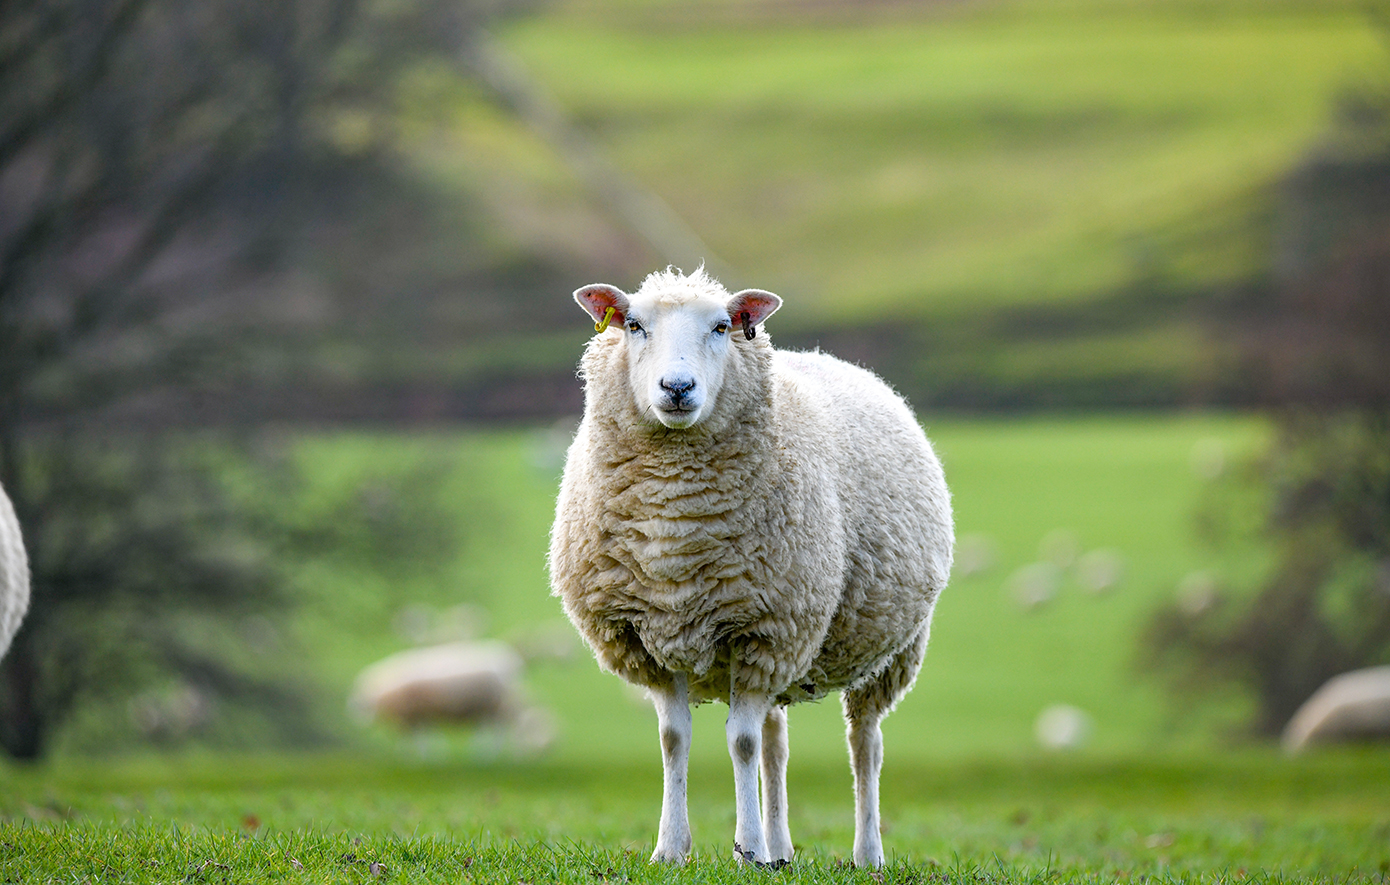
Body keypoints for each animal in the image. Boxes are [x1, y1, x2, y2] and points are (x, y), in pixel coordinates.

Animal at [347, 636, 553, 750]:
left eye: (359, 704)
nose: (358, 717)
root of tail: (508, 661)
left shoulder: (416, 714)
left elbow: (421, 742)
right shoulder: (415, 717)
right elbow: (419, 742)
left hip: (491, 704)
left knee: (495, 732)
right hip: (489, 706)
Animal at [547, 265, 950, 866]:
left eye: (721, 326)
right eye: (634, 324)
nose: (677, 388)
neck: (676, 529)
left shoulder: (765, 630)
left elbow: (739, 742)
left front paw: (748, 847)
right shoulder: (649, 636)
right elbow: (675, 739)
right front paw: (671, 848)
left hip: (891, 650)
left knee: (865, 743)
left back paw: (866, 853)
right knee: (775, 744)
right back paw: (782, 850)